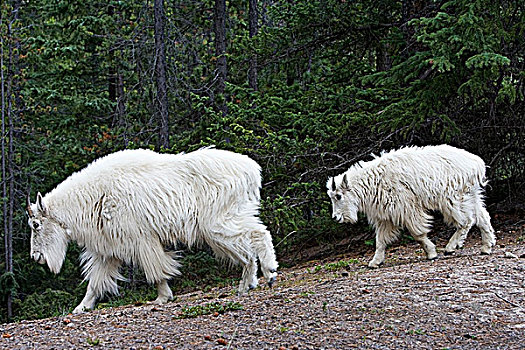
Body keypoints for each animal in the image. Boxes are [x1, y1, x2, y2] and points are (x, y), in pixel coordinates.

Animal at [27, 148, 278, 314]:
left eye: (36, 224)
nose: (36, 256)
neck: (92, 197)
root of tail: (252, 170)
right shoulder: (107, 249)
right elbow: (95, 281)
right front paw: (81, 307)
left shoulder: (141, 239)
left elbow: (156, 269)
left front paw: (162, 297)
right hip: (224, 222)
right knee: (246, 251)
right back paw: (247, 284)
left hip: (218, 222)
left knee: (258, 234)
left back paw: (270, 272)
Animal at [328, 145, 496, 268]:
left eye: (338, 196)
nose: (336, 217)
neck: (372, 182)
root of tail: (477, 163)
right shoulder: (385, 216)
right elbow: (380, 240)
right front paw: (375, 262)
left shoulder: (407, 208)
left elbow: (418, 234)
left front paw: (431, 253)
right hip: (471, 194)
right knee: (482, 217)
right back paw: (486, 247)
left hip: (453, 198)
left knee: (466, 220)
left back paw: (451, 247)